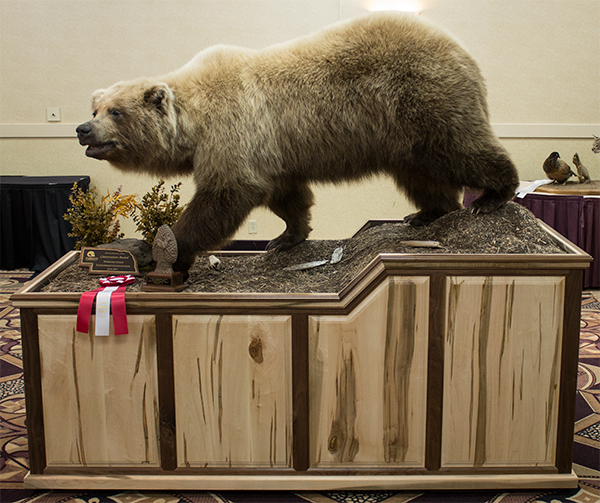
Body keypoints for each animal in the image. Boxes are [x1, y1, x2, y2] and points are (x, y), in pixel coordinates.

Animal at [76, 11, 520, 276]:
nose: (83, 129)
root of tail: (462, 52)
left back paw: (492, 196)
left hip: (421, 99)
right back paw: (426, 213)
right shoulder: (272, 153)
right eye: (95, 106)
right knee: (422, 174)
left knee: (461, 149)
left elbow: (223, 196)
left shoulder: (233, 134)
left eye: (116, 111)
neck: (195, 123)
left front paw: (170, 251)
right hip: (405, 137)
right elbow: (287, 196)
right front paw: (286, 237)